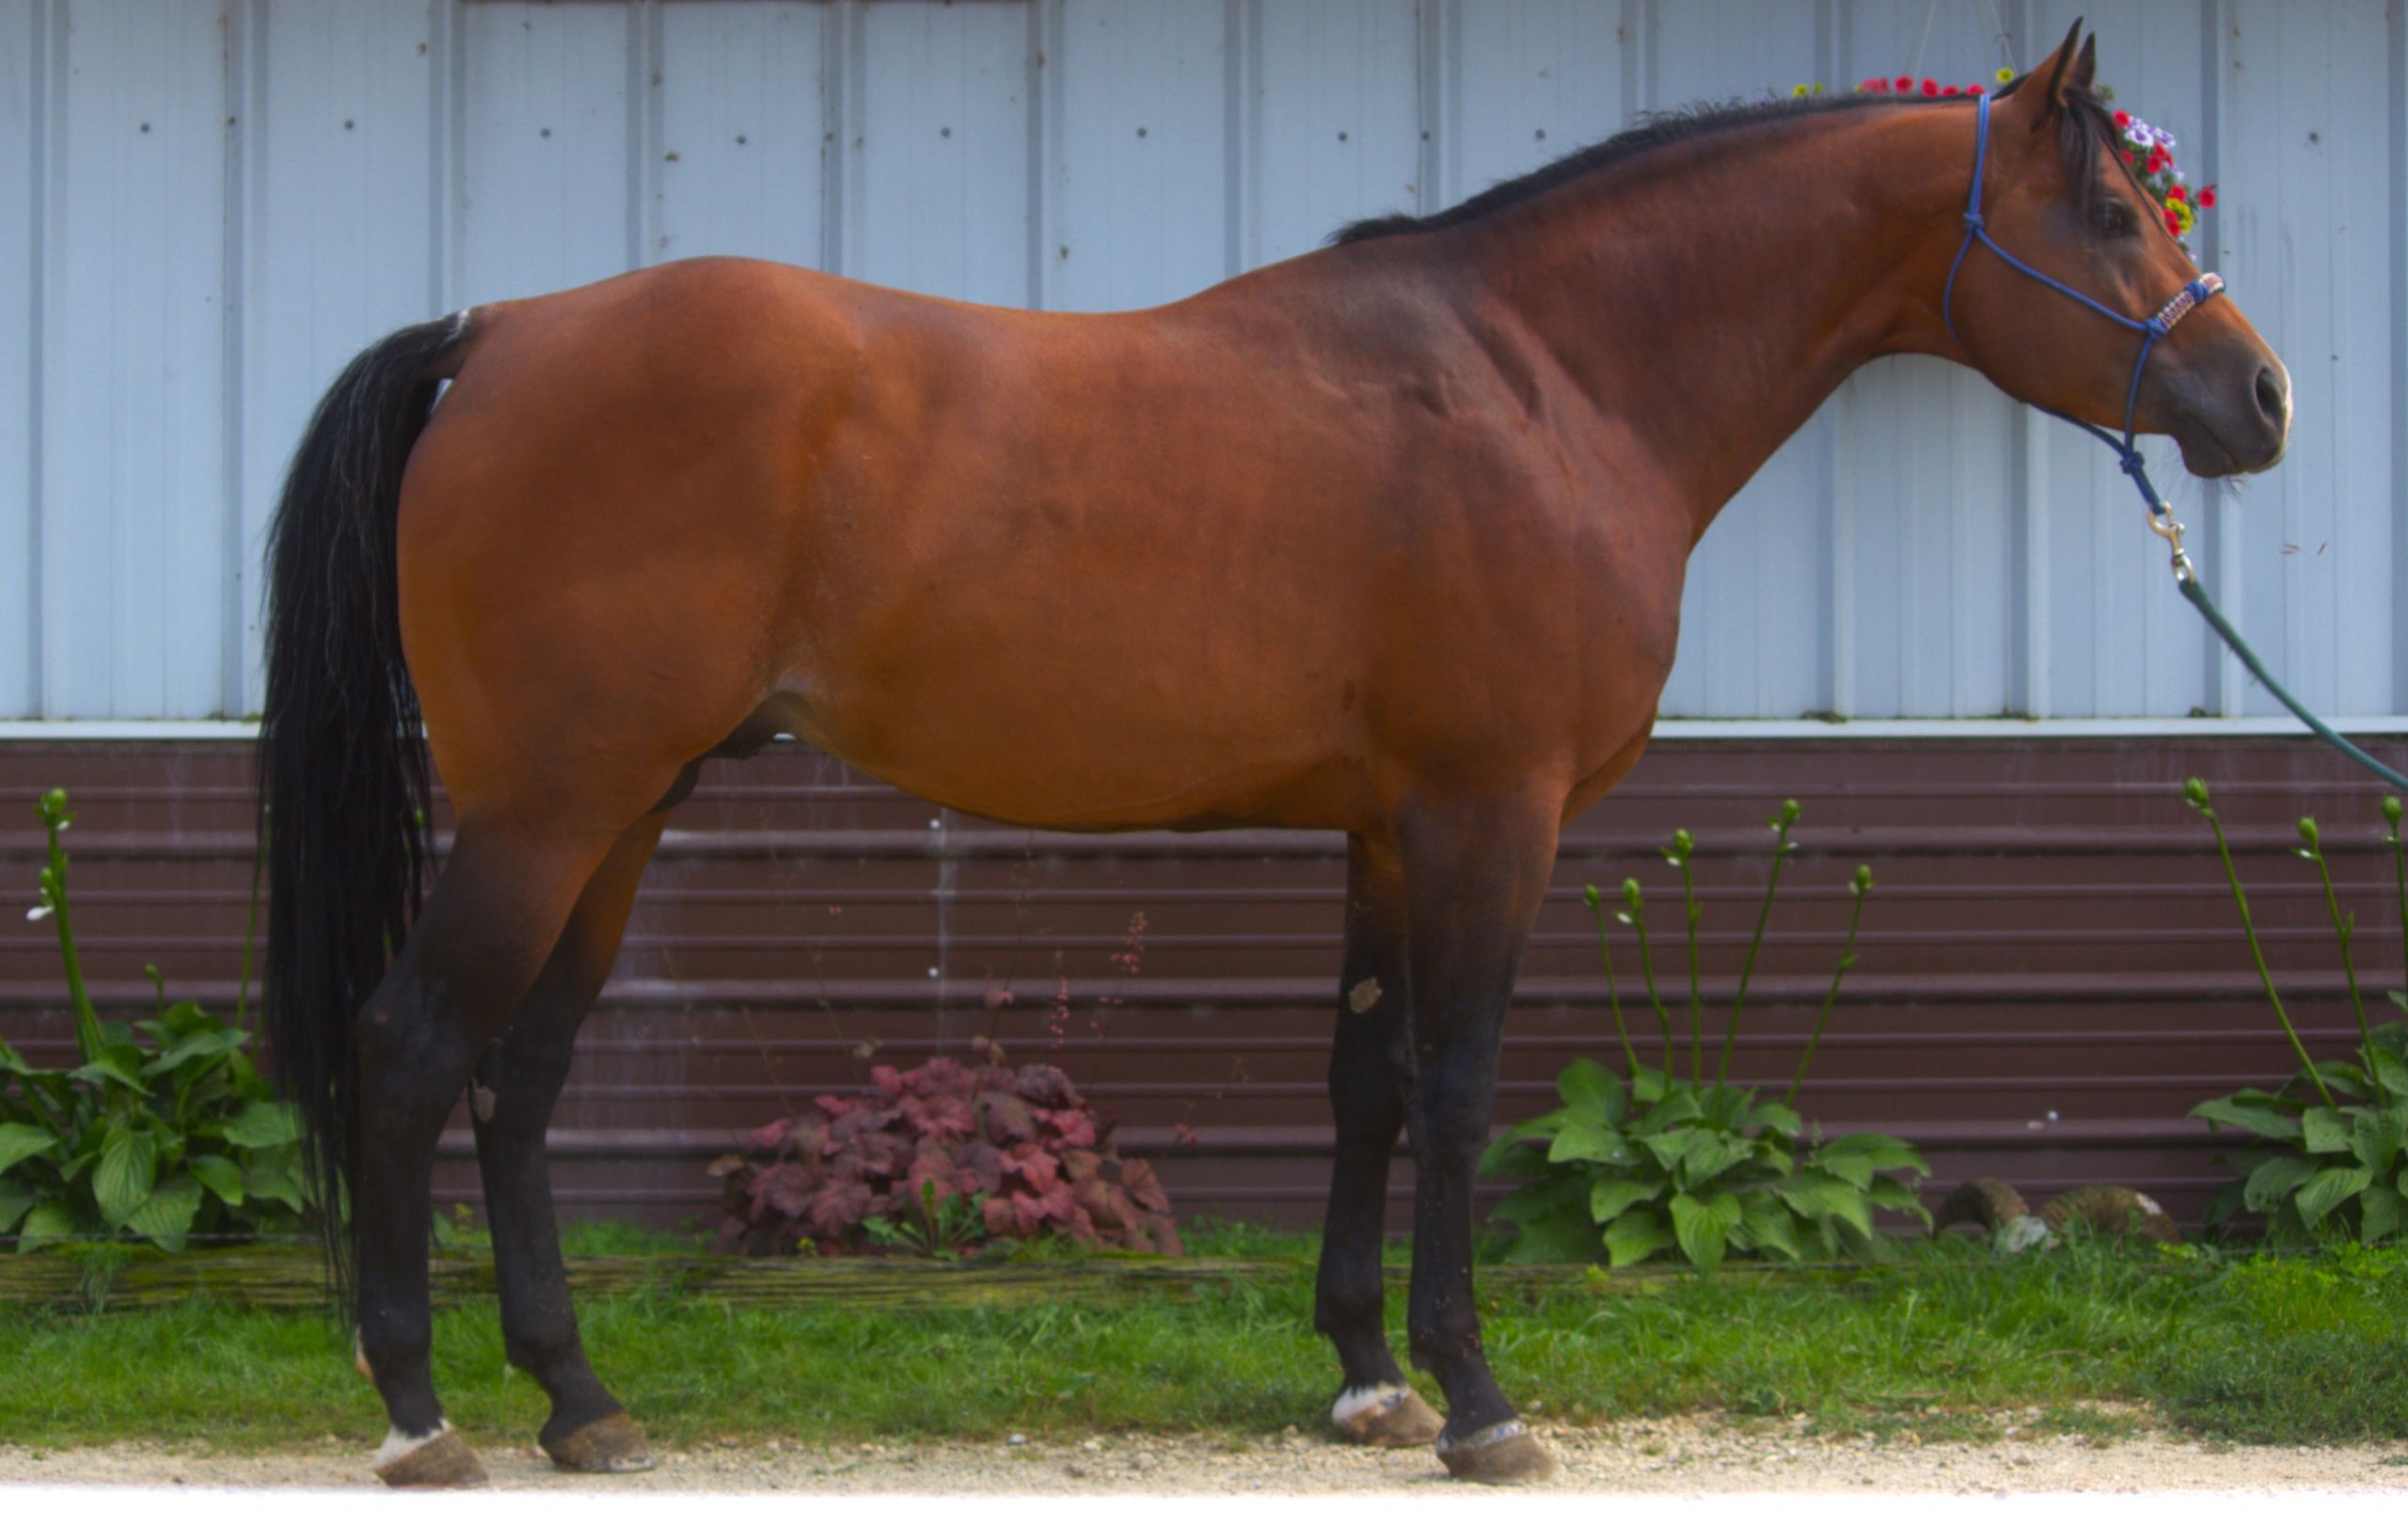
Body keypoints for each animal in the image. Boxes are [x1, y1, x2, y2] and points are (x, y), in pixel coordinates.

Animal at [257, 24, 2288, 1487]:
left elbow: (1364, 1083)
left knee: (519, 1083)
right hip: (548, 814)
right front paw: (1477, 1401)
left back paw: (578, 1401)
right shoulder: (1489, 819)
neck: (1544, 380)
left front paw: (1366, 1377)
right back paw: (421, 1415)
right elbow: (1457, 1088)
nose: (2258, 399)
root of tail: (499, 335)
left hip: (619, 816)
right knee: (410, 1052)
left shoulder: (1388, 832)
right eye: (2115, 216)